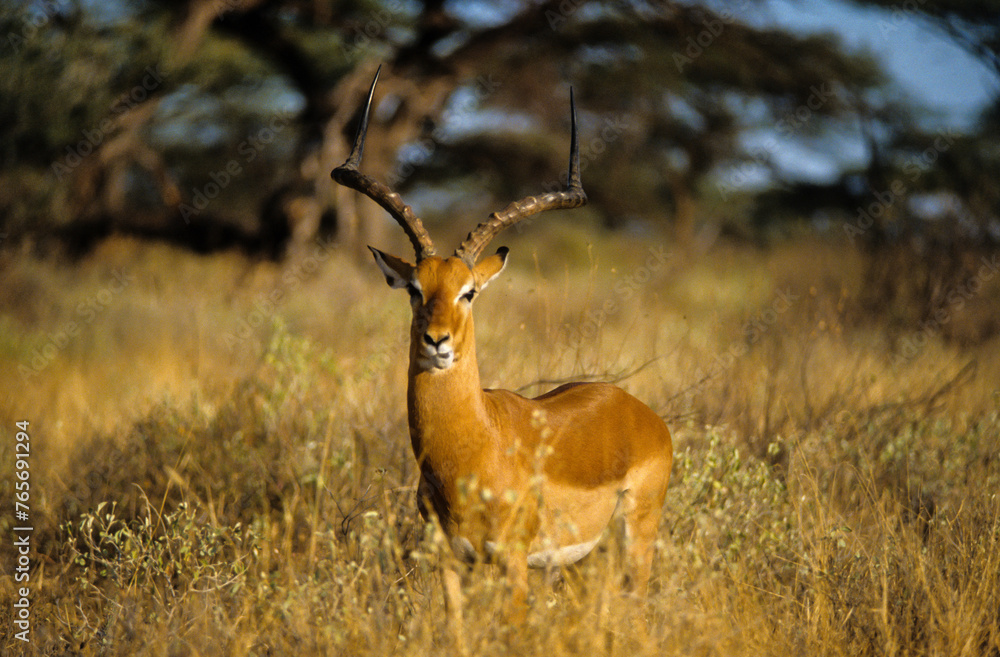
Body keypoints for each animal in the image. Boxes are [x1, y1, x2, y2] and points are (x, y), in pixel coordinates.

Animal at [331, 67, 673, 643]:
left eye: (469, 292)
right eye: (415, 289)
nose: (438, 342)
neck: (475, 447)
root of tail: (639, 411)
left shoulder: (513, 563)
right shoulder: (450, 562)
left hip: (636, 536)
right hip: (582, 559)